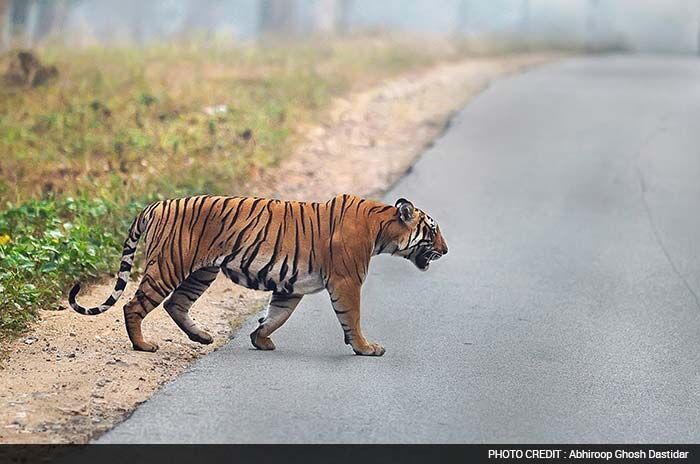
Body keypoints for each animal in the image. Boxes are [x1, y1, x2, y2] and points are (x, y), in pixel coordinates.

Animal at [67, 194, 448, 358]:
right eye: (433, 230)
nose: (446, 250)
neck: (382, 228)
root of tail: (157, 204)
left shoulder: (291, 286)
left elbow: (276, 316)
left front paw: (259, 340)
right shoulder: (346, 281)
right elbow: (351, 318)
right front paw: (366, 348)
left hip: (201, 272)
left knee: (176, 304)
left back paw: (201, 336)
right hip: (169, 265)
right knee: (133, 305)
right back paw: (142, 345)